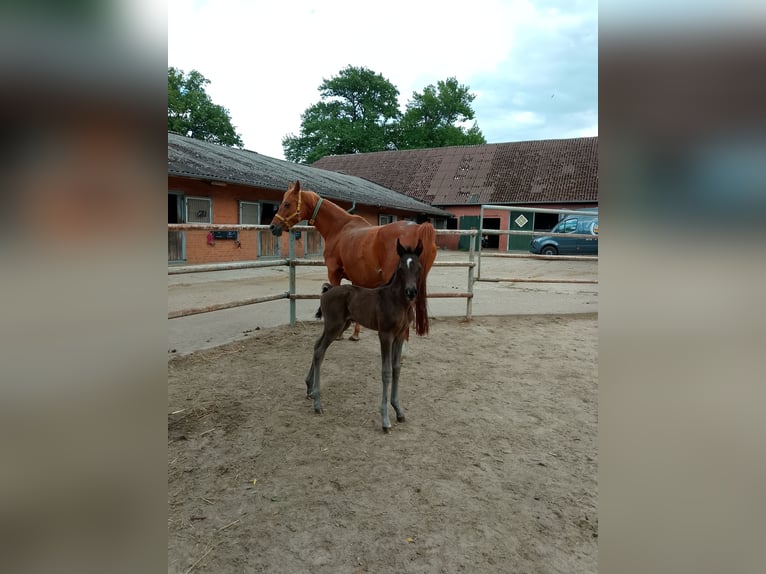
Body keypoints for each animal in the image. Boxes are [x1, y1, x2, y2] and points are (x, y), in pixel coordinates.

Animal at [268, 180, 436, 339]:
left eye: (287, 204)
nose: (272, 227)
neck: (339, 228)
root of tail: (417, 228)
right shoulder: (358, 277)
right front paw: (355, 334)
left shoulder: (334, 273)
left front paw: (339, 334)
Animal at [306, 238, 423, 432]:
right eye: (400, 268)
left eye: (419, 267)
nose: (411, 292)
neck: (398, 302)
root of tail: (327, 290)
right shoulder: (385, 335)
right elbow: (386, 371)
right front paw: (385, 420)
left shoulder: (399, 336)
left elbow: (397, 368)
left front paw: (398, 410)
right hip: (334, 326)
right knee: (319, 351)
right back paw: (317, 403)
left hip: (338, 325)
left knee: (316, 346)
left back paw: (309, 389)